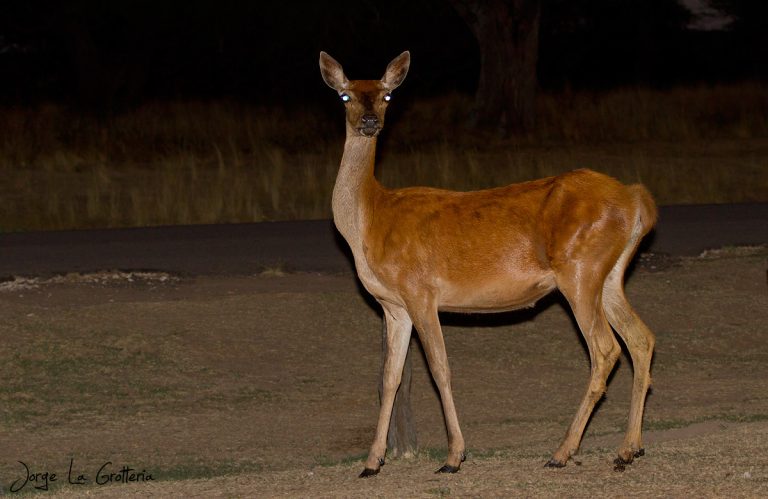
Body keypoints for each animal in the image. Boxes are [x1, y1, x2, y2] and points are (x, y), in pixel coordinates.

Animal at [319, 50, 657, 477]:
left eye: (386, 96)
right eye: (345, 96)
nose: (369, 122)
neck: (371, 219)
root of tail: (636, 199)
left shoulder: (420, 291)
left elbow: (440, 369)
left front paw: (454, 457)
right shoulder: (394, 306)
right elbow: (390, 377)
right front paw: (372, 462)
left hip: (580, 271)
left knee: (606, 349)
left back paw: (562, 452)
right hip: (609, 276)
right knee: (641, 338)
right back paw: (628, 449)